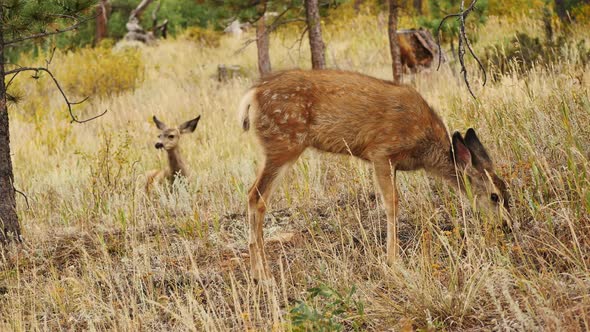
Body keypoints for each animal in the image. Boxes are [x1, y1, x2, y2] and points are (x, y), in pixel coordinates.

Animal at [238, 69, 512, 280]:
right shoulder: (381, 153)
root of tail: (252, 95)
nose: (508, 225)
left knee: (254, 195)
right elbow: (392, 204)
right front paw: (393, 261)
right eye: (494, 196)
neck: (424, 150)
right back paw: (262, 275)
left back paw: (257, 272)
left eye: (507, 193)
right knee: (256, 196)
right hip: (283, 143)